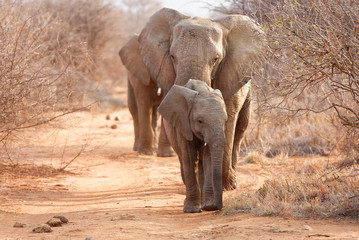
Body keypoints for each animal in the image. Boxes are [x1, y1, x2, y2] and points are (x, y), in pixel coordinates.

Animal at [135, 8, 264, 190]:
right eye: (172, 56)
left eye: (216, 59)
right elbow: (176, 125)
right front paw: (195, 180)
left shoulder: (230, 75)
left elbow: (227, 122)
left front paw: (224, 186)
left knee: (240, 128)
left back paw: (232, 181)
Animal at [158, 79, 228, 212]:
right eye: (200, 121)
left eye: (225, 121)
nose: (219, 207)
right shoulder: (182, 124)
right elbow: (189, 158)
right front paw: (192, 210)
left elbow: (208, 158)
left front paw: (209, 206)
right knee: (184, 161)